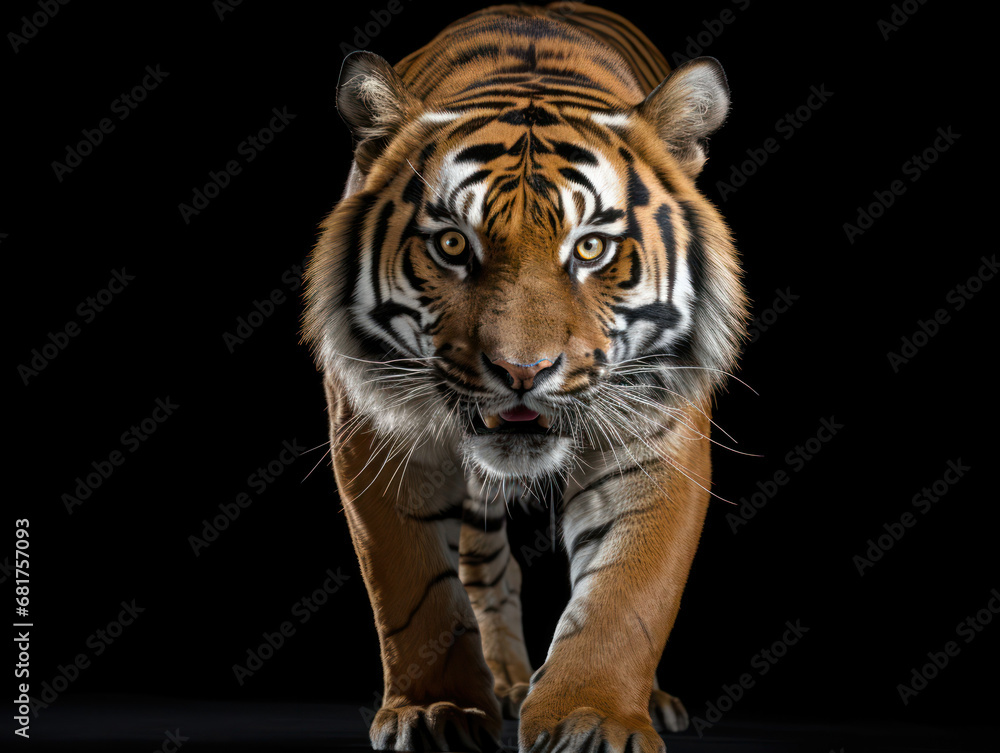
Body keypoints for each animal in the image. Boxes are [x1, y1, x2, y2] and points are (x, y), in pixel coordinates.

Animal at [303, 3, 747, 751]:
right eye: (453, 244)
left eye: (591, 247)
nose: (522, 370)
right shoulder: (375, 432)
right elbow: (413, 589)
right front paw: (435, 709)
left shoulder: (656, 437)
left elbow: (628, 591)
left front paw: (594, 715)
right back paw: (507, 682)